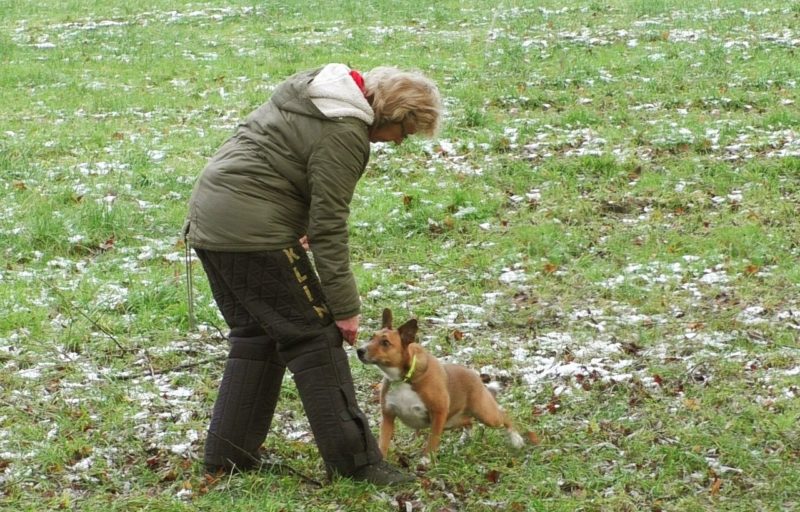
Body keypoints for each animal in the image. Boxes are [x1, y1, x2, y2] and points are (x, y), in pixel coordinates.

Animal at [358, 310, 524, 458]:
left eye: (385, 343)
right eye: (371, 337)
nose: (359, 350)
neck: (404, 378)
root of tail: (477, 377)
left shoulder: (438, 413)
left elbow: (432, 441)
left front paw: (425, 461)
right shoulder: (388, 415)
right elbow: (383, 442)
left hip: (485, 414)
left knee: (504, 416)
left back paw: (516, 439)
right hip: (452, 421)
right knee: (468, 422)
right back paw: (465, 438)